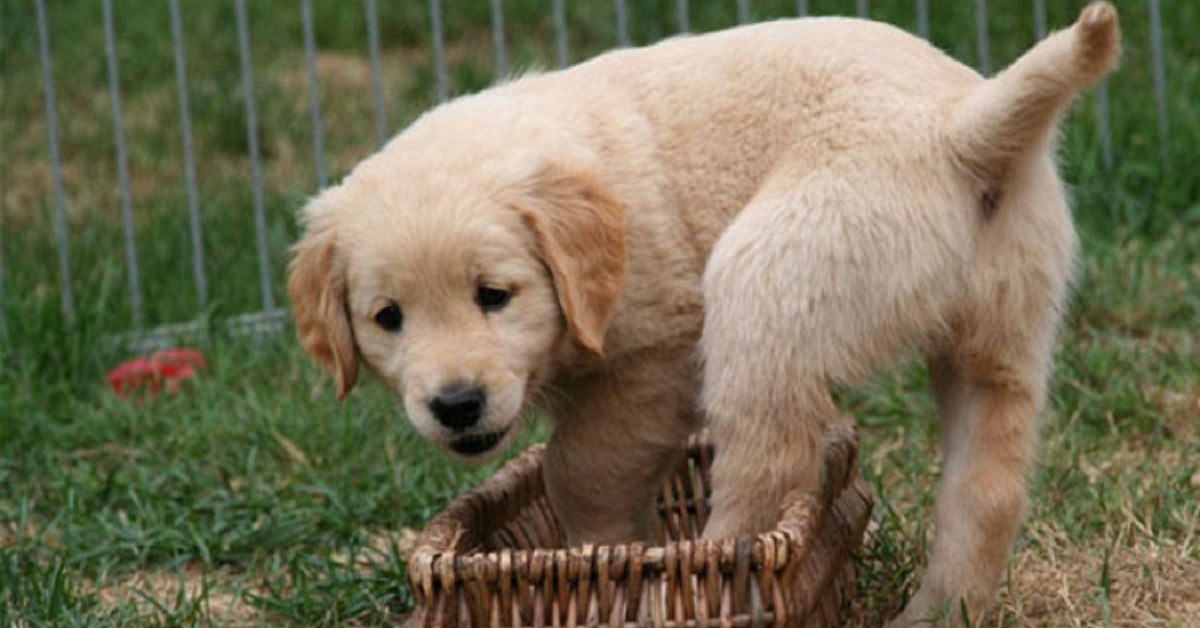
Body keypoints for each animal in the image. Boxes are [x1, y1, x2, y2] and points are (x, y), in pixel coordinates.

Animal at [285, 4, 1118, 624]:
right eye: (387, 318)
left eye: (495, 295)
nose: (456, 406)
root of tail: (956, 128)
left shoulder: (654, 356)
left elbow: (580, 465)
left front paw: (602, 553)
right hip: (1003, 330)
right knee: (987, 491)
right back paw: (936, 613)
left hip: (766, 278)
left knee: (765, 463)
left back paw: (694, 581)